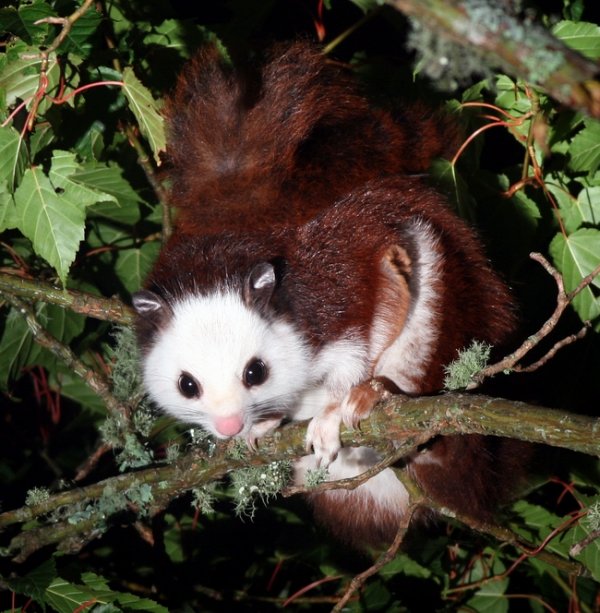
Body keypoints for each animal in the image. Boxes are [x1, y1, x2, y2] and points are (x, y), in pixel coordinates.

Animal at [134, 40, 528, 544]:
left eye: (255, 372)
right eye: (187, 386)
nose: (228, 424)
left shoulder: (341, 284)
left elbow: (366, 331)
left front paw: (334, 411)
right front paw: (263, 424)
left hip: (442, 323)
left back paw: (384, 405)